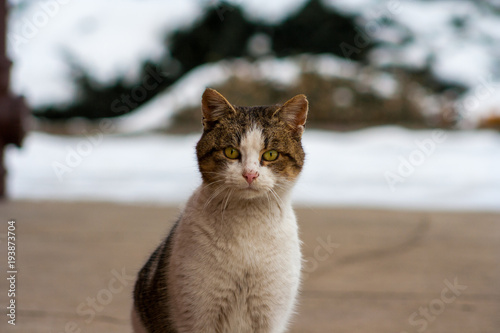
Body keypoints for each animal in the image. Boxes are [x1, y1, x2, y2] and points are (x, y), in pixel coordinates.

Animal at [131, 87, 306, 332]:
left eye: (271, 154)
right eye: (231, 152)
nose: (250, 174)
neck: (248, 222)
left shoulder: (271, 317)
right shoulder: (197, 315)